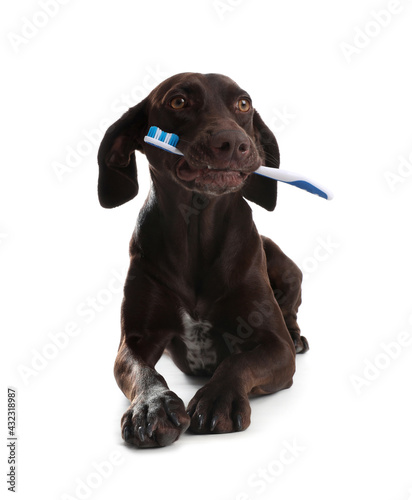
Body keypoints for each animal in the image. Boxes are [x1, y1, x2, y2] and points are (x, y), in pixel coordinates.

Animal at [97, 72, 308, 448]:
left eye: (244, 104)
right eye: (178, 101)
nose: (233, 142)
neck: (197, 233)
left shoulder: (275, 346)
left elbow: (238, 362)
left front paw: (218, 399)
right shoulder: (134, 341)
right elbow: (141, 370)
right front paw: (151, 407)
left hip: (287, 269)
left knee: (292, 311)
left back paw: (298, 335)